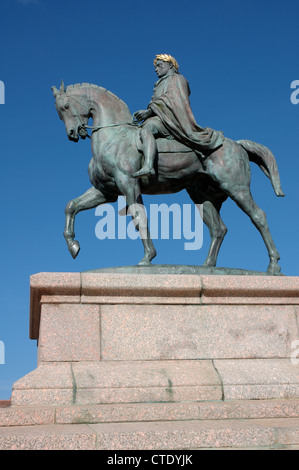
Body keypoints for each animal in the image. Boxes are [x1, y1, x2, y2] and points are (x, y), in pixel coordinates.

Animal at [51, 79, 286, 274]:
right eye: (59, 113)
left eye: (65, 107)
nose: (72, 134)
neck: (113, 137)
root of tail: (237, 144)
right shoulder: (105, 191)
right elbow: (71, 206)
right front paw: (73, 246)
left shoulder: (129, 185)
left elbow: (139, 218)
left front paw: (148, 257)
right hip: (203, 197)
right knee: (219, 229)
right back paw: (207, 266)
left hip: (236, 188)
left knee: (258, 217)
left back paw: (273, 265)